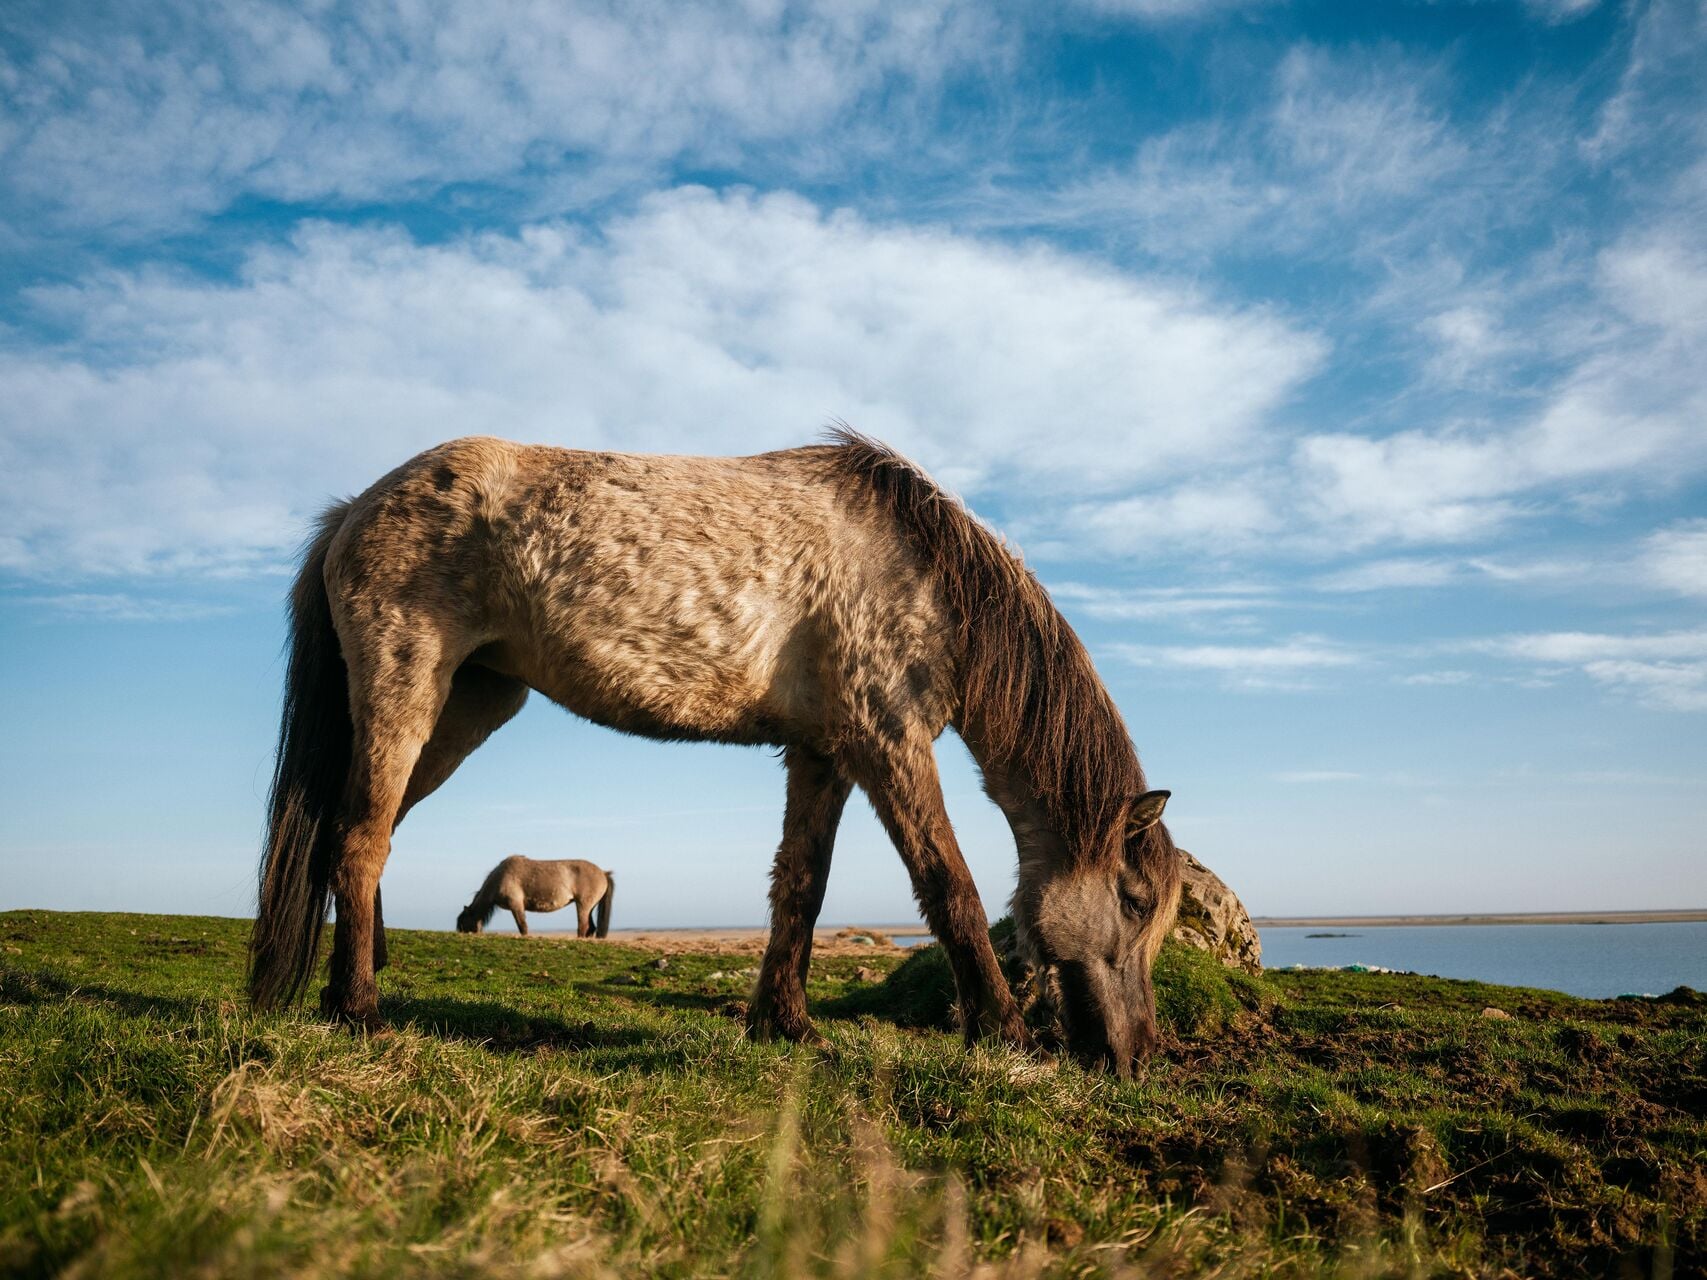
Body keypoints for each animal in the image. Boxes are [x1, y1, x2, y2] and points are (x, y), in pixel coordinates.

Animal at [456, 855, 614, 937]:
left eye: (462, 923)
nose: (461, 934)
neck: (500, 878)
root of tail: (603, 873)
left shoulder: (516, 906)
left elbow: (522, 926)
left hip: (583, 905)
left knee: (583, 926)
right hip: (589, 907)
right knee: (590, 928)